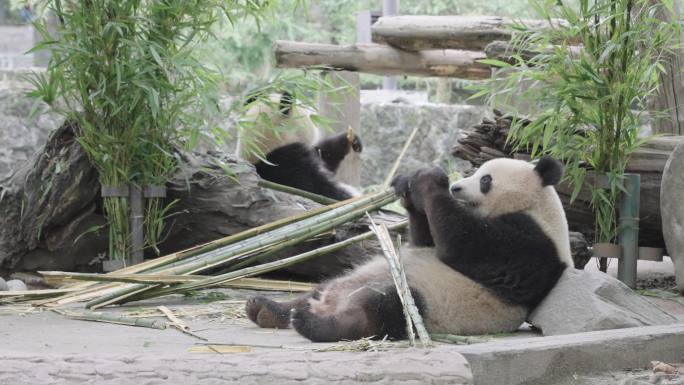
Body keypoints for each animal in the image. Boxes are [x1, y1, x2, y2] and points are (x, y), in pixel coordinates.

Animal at [236, 91, 364, 200]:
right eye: (308, 110)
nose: (315, 112)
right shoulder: (287, 165)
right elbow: (318, 188)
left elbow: (325, 156)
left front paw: (351, 140)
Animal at [246, 154, 572, 340]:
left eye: (485, 180)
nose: (456, 188)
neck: (537, 206)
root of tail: (330, 303)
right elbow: (424, 241)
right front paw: (407, 187)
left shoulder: (531, 245)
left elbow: (464, 245)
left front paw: (429, 178)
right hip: (348, 280)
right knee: (318, 290)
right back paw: (267, 308)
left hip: (427, 301)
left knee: (383, 310)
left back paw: (312, 324)